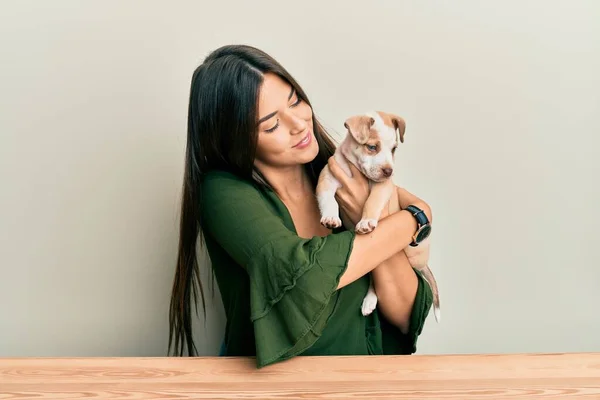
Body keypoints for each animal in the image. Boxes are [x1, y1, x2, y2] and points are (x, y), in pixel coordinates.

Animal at [314, 111, 440, 322]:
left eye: (394, 149)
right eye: (372, 147)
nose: (389, 171)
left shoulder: (382, 188)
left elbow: (371, 202)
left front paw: (366, 222)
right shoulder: (327, 180)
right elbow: (328, 200)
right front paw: (330, 218)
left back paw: (370, 301)